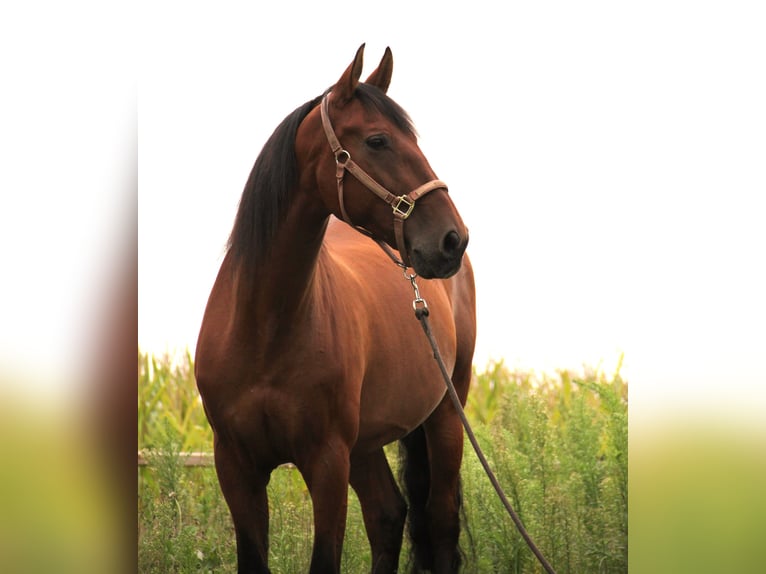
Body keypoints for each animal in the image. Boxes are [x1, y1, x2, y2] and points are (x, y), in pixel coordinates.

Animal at [195, 46, 476, 574]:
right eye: (378, 140)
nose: (453, 239)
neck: (266, 326)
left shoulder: (326, 462)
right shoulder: (236, 466)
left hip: (446, 414)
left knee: (440, 522)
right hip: (365, 444)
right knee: (388, 514)